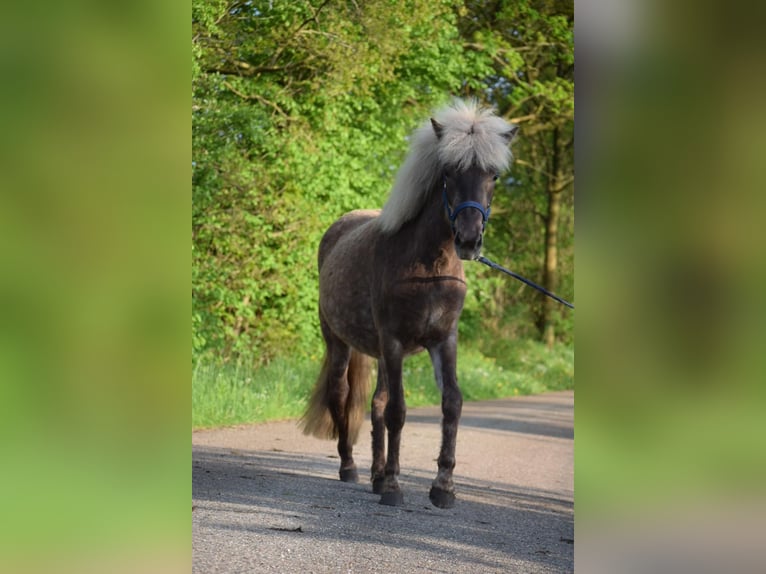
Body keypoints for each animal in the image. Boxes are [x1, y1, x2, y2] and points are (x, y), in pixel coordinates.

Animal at [304, 99, 520, 508]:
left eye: (494, 176)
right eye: (449, 172)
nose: (469, 240)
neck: (428, 267)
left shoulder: (444, 340)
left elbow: (451, 403)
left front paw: (443, 486)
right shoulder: (393, 340)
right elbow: (398, 411)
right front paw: (393, 486)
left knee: (374, 404)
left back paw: (375, 473)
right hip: (339, 343)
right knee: (343, 396)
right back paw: (351, 468)